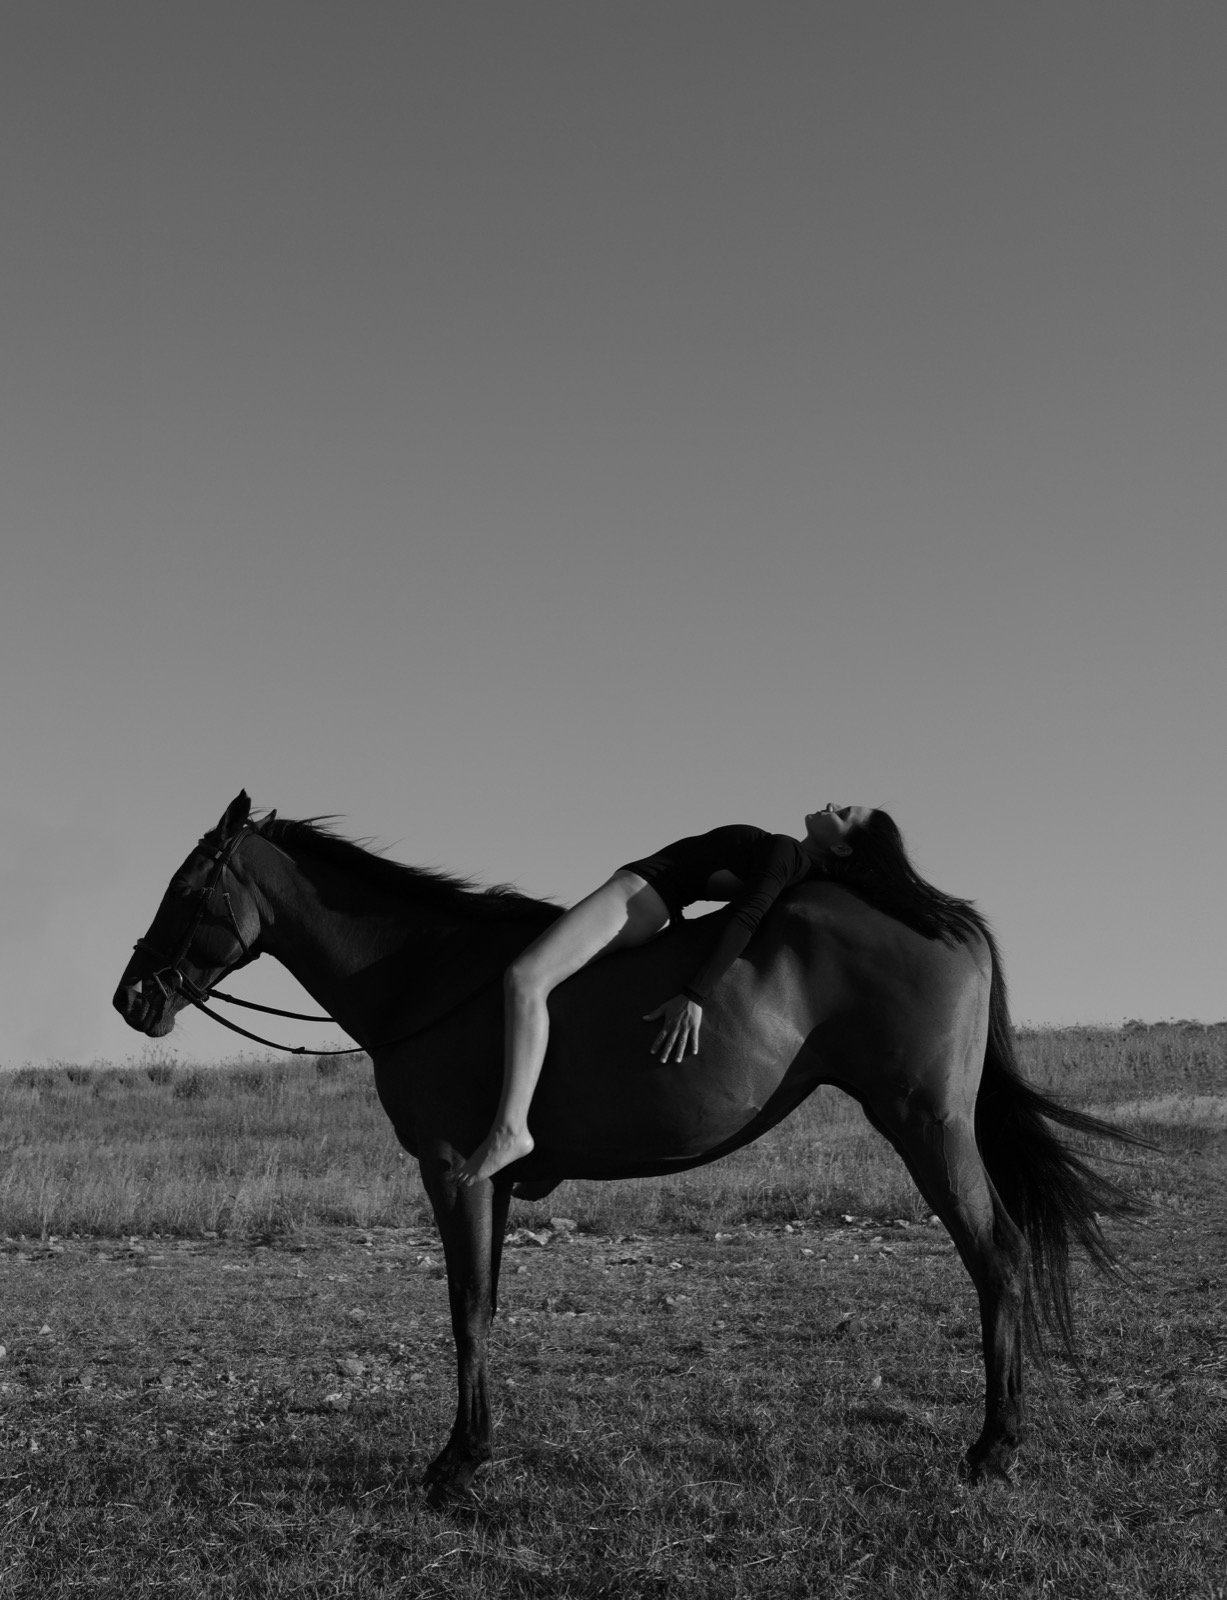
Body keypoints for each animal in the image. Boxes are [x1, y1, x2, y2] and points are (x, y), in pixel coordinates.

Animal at [113, 792, 1140, 1504]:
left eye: (187, 888)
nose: (133, 997)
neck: (424, 974)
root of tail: (936, 910)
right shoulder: (483, 1186)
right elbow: (486, 1309)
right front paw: (473, 1452)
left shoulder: (451, 1172)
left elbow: (465, 1312)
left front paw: (455, 1465)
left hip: (924, 1125)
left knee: (995, 1257)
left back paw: (994, 1447)